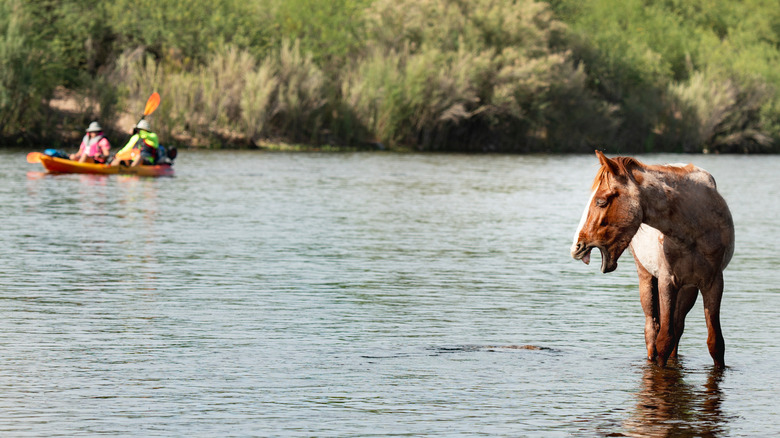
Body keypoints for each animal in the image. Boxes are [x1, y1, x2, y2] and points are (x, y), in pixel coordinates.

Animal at [571, 151, 734, 368]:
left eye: (601, 201)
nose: (576, 246)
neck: (693, 229)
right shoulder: (667, 281)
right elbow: (663, 340)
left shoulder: (713, 282)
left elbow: (715, 343)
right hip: (646, 277)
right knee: (651, 329)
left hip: (689, 288)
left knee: (677, 326)